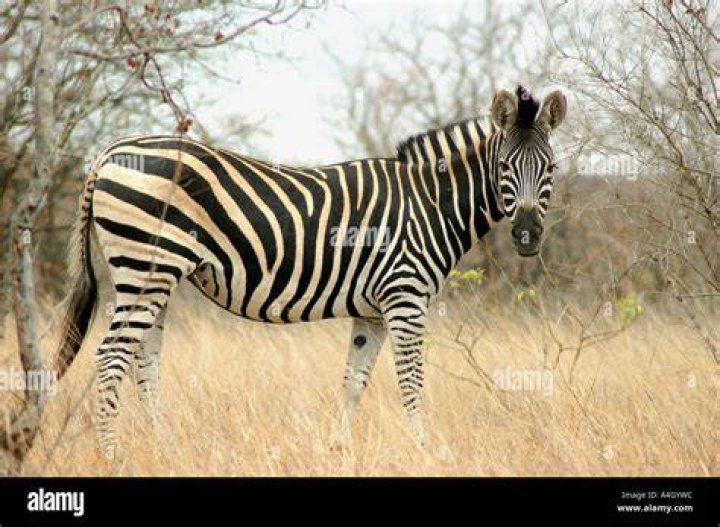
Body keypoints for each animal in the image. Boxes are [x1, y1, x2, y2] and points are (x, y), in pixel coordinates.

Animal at [56, 86, 566, 459]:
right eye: (504, 166)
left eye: (551, 167)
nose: (526, 235)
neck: (429, 202)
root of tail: (110, 151)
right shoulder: (404, 298)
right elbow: (411, 380)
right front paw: (425, 451)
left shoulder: (373, 311)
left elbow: (354, 381)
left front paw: (336, 450)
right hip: (146, 269)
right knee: (110, 358)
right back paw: (113, 455)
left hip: (153, 277)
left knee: (144, 362)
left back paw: (166, 449)